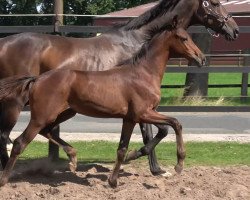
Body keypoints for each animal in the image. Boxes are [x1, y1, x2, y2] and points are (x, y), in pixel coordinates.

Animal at [0, 25, 205, 188]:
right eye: (184, 38)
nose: (201, 58)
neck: (143, 73)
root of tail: (37, 79)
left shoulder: (131, 118)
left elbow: (123, 149)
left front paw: (113, 181)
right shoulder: (143, 113)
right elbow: (176, 123)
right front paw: (179, 165)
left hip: (61, 114)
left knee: (47, 131)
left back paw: (73, 158)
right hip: (41, 117)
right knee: (19, 142)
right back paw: (5, 179)